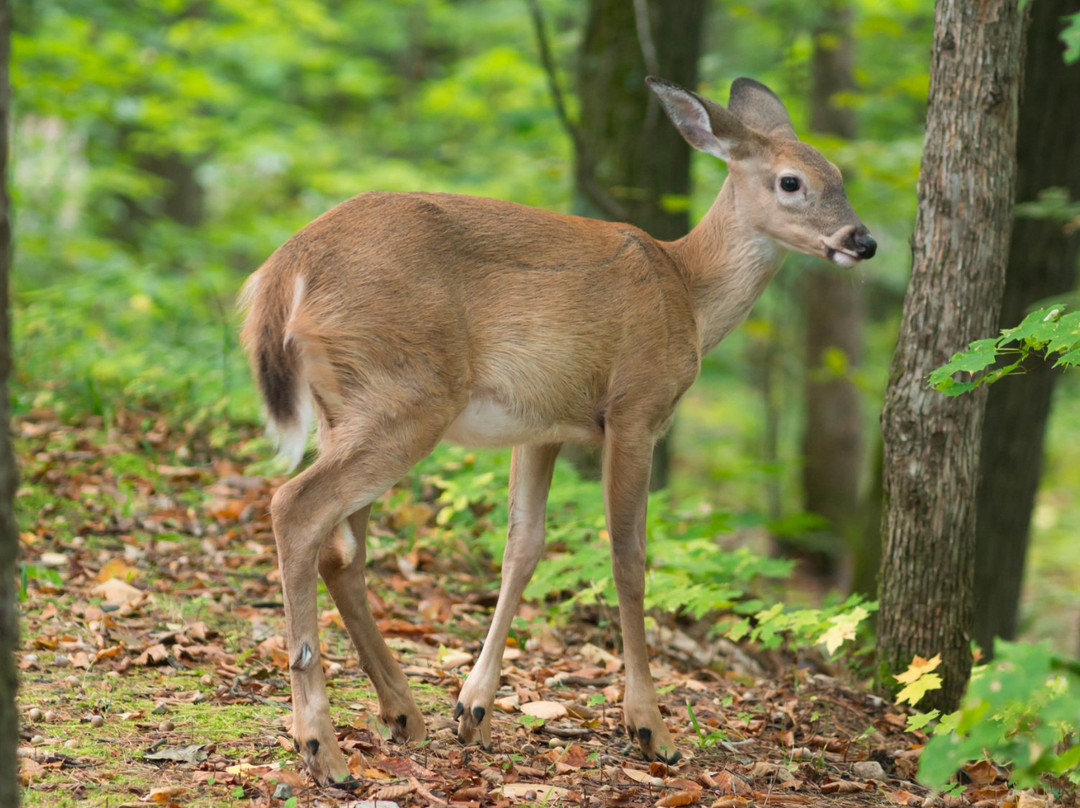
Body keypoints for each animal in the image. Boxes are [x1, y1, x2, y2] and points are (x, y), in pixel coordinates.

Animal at [238, 73, 876, 782]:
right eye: (792, 181)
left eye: (841, 175)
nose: (862, 241)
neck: (687, 292)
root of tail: (285, 265)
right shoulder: (634, 408)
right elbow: (628, 556)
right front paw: (650, 728)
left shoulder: (542, 425)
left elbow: (524, 545)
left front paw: (474, 710)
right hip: (405, 395)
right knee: (296, 507)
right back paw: (321, 747)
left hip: (348, 405)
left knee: (341, 549)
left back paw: (403, 713)